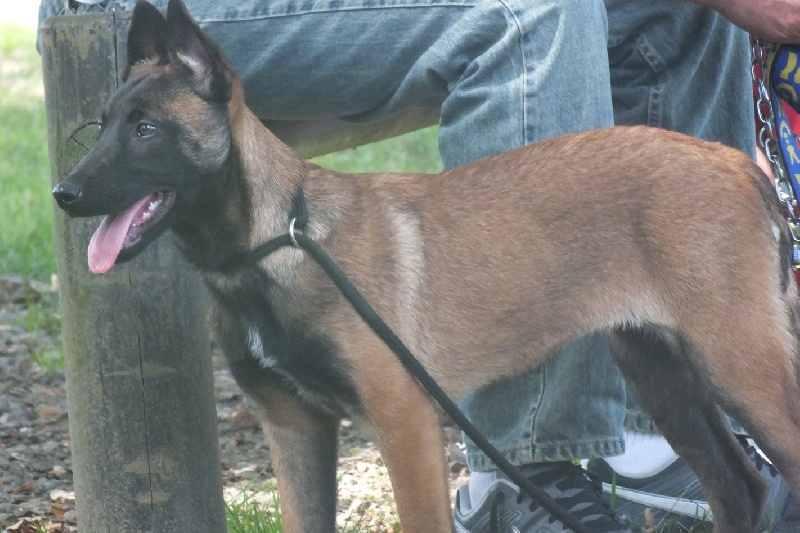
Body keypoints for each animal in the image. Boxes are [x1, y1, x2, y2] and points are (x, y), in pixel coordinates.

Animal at [53, 1, 800, 528]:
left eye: (146, 129)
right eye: (103, 125)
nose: (64, 194)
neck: (276, 243)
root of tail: (733, 160)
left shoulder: (404, 424)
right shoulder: (295, 430)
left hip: (737, 362)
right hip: (661, 369)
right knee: (739, 488)